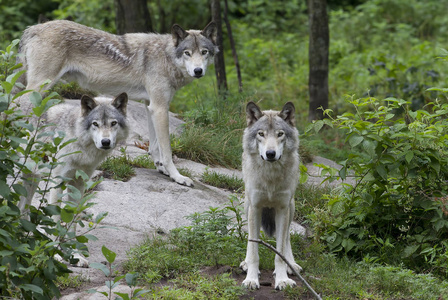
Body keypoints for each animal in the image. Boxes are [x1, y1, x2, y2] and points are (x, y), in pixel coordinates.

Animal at [18, 19, 218, 186]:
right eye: (187, 53)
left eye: (204, 52)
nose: (198, 71)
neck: (166, 56)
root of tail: (32, 28)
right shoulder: (160, 108)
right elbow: (167, 150)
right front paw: (177, 176)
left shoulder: (151, 106)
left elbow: (154, 146)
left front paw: (161, 168)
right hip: (39, 87)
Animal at [18, 92, 130, 266]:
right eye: (95, 124)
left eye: (113, 123)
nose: (105, 142)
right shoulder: (57, 183)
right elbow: (56, 219)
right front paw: (53, 254)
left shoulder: (79, 184)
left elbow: (73, 223)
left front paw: (75, 255)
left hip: (32, 179)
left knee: (22, 210)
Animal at [240, 101, 302, 290]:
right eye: (261, 134)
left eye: (280, 134)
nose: (270, 154)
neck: (270, 178)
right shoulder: (255, 207)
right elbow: (254, 252)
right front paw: (251, 279)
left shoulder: (282, 208)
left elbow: (279, 252)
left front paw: (282, 279)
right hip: (247, 205)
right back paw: (245, 264)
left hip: (291, 207)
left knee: (287, 236)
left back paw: (292, 265)